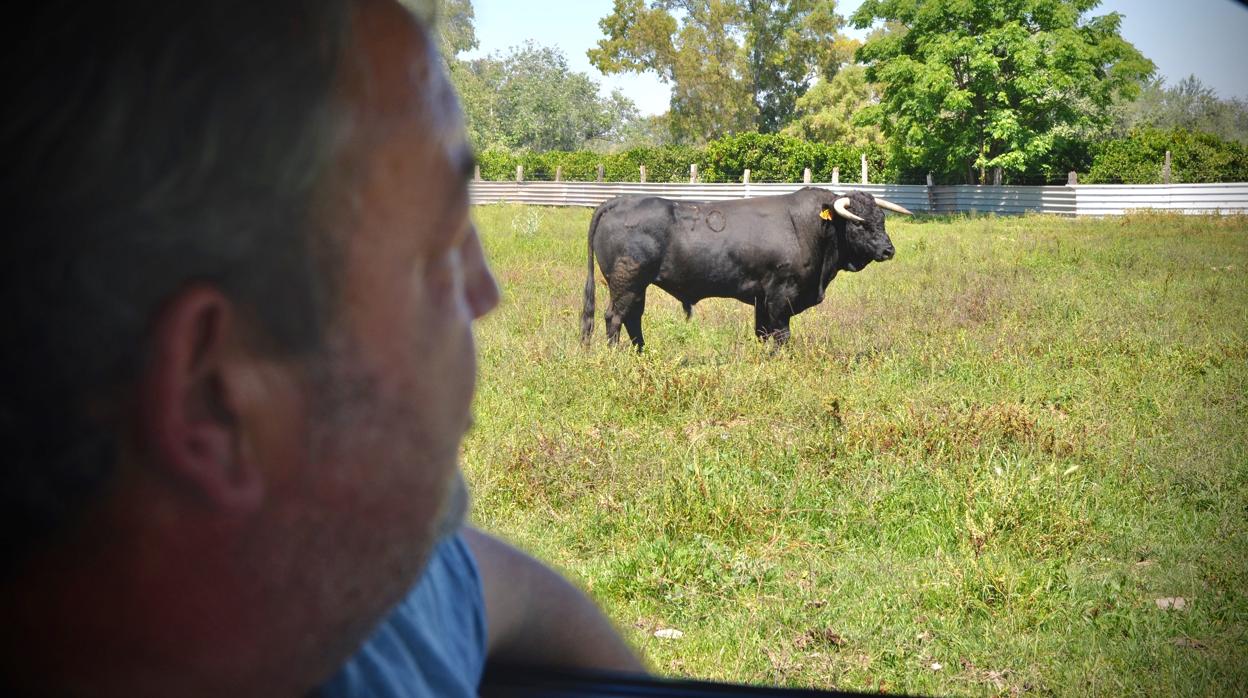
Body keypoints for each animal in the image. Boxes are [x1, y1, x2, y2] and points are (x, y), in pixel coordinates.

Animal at [579, 188, 913, 349]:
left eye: (881, 219)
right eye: (859, 224)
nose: (889, 250)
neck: (814, 229)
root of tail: (619, 201)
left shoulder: (762, 299)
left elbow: (763, 332)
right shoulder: (780, 295)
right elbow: (781, 335)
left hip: (638, 286)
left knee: (632, 318)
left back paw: (641, 353)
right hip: (626, 283)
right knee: (614, 317)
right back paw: (617, 355)